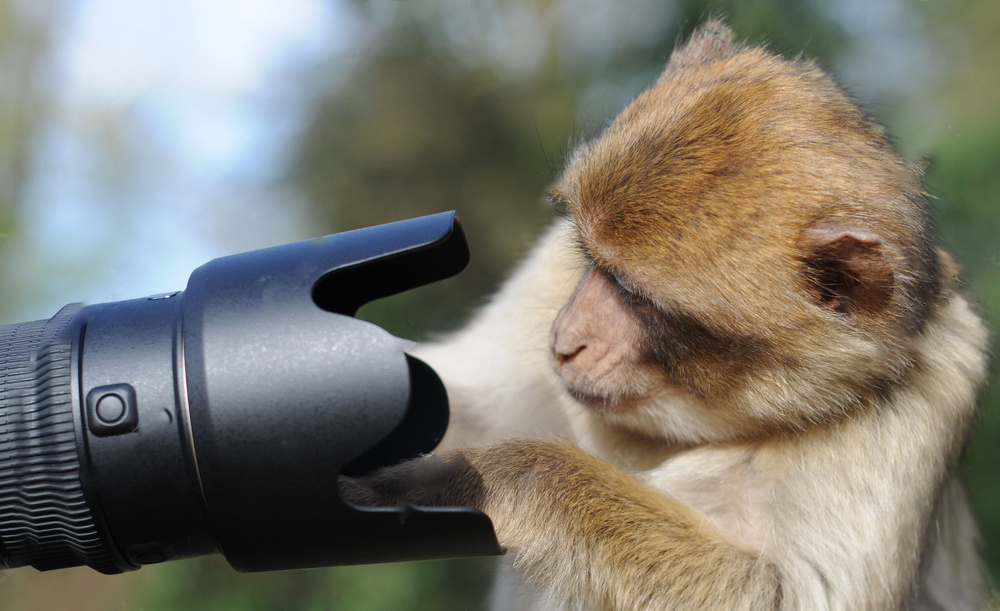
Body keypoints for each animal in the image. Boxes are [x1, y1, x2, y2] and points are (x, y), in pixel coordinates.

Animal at [348, 19, 988, 611]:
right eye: (593, 262)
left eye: (639, 298)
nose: (565, 341)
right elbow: (464, 402)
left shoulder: (921, 400)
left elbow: (789, 594)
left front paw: (496, 477)